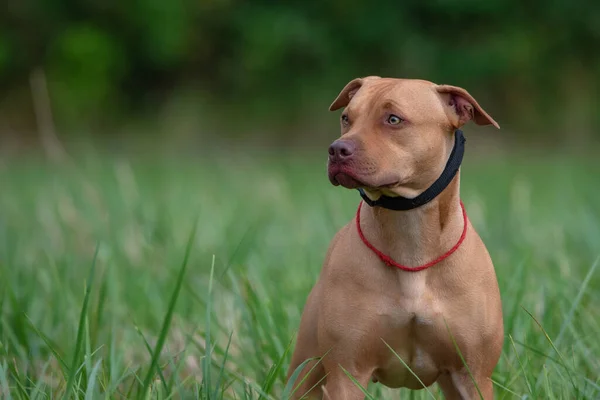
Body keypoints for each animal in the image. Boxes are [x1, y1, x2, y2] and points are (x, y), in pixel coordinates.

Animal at [288, 76, 504, 398]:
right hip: (306, 372)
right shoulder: (346, 374)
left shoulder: (473, 375)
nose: (336, 150)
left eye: (393, 119)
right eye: (346, 118)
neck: (410, 234)